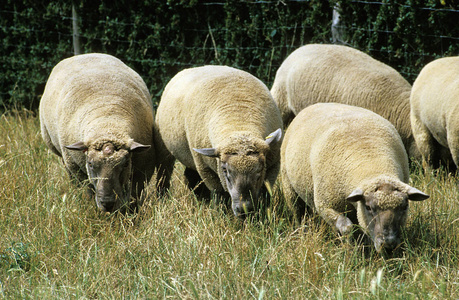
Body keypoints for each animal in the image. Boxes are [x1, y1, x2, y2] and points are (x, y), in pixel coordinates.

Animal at [39, 54, 156, 213]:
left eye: (126, 164)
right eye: (90, 163)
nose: (107, 203)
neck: (107, 121)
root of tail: (83, 55)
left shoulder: (144, 168)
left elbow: (135, 193)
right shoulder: (76, 167)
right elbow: (87, 190)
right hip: (61, 154)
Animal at [155, 64, 284, 217]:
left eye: (260, 169)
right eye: (224, 170)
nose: (244, 210)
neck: (239, 120)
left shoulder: (273, 166)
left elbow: (265, 192)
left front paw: (263, 214)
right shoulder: (205, 168)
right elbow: (219, 194)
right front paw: (220, 214)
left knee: (190, 176)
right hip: (164, 147)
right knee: (165, 174)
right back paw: (166, 198)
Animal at [280, 102, 432, 251]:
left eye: (404, 207)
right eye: (369, 208)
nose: (388, 244)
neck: (373, 164)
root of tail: (315, 105)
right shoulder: (325, 205)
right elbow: (347, 227)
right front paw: (351, 248)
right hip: (289, 187)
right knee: (299, 213)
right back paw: (303, 232)